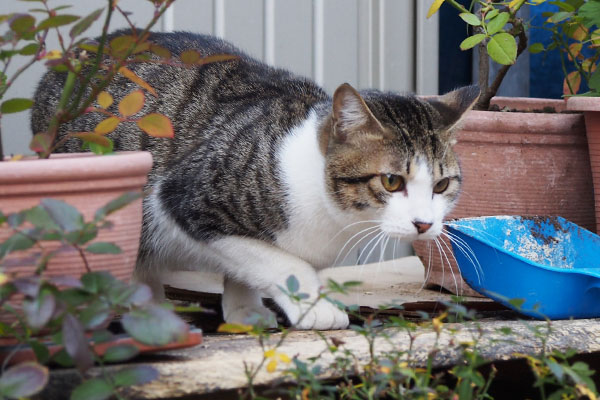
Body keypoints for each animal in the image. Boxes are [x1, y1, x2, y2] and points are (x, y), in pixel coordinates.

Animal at [31, 31, 478, 330]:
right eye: (390, 181)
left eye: (441, 186)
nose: (424, 224)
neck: (333, 216)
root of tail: (73, 57)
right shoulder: (188, 200)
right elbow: (281, 261)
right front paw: (313, 306)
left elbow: (248, 268)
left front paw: (244, 309)